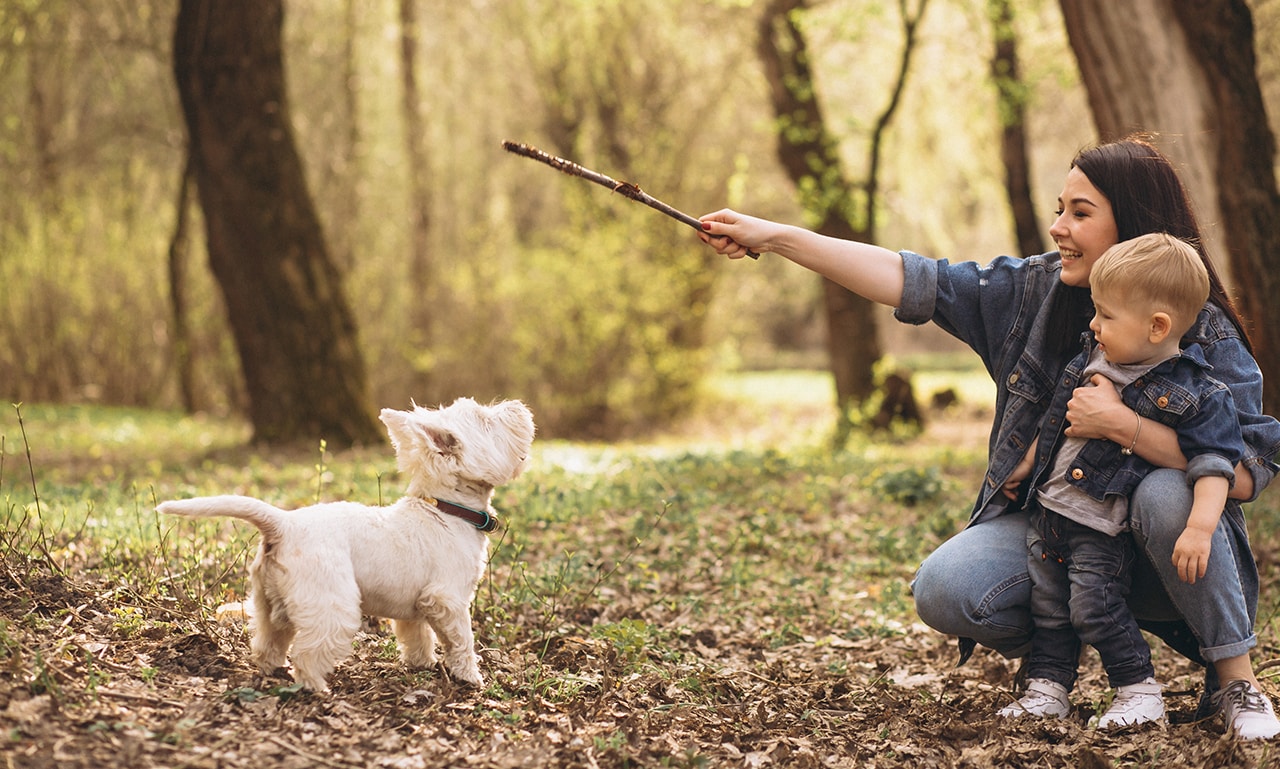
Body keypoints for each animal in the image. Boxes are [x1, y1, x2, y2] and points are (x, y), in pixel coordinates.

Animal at [160, 396, 535, 690]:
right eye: (485, 420)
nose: (518, 405)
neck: (447, 510)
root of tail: (283, 524)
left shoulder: (416, 607)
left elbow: (417, 637)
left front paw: (421, 664)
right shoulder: (448, 599)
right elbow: (462, 640)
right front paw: (471, 677)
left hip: (269, 604)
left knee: (267, 644)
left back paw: (273, 671)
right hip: (332, 607)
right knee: (306, 654)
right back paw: (316, 687)